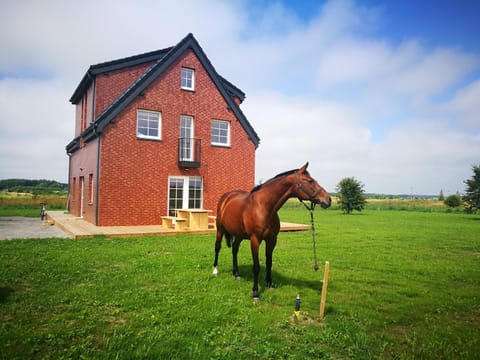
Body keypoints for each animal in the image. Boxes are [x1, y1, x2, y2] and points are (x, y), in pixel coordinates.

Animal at [212, 162, 332, 300]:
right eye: (310, 181)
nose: (328, 199)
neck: (264, 207)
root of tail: (226, 197)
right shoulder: (255, 240)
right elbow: (256, 267)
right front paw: (255, 293)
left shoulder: (271, 240)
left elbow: (269, 262)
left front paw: (269, 284)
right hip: (220, 230)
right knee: (217, 247)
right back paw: (215, 270)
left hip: (239, 235)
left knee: (234, 249)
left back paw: (236, 274)